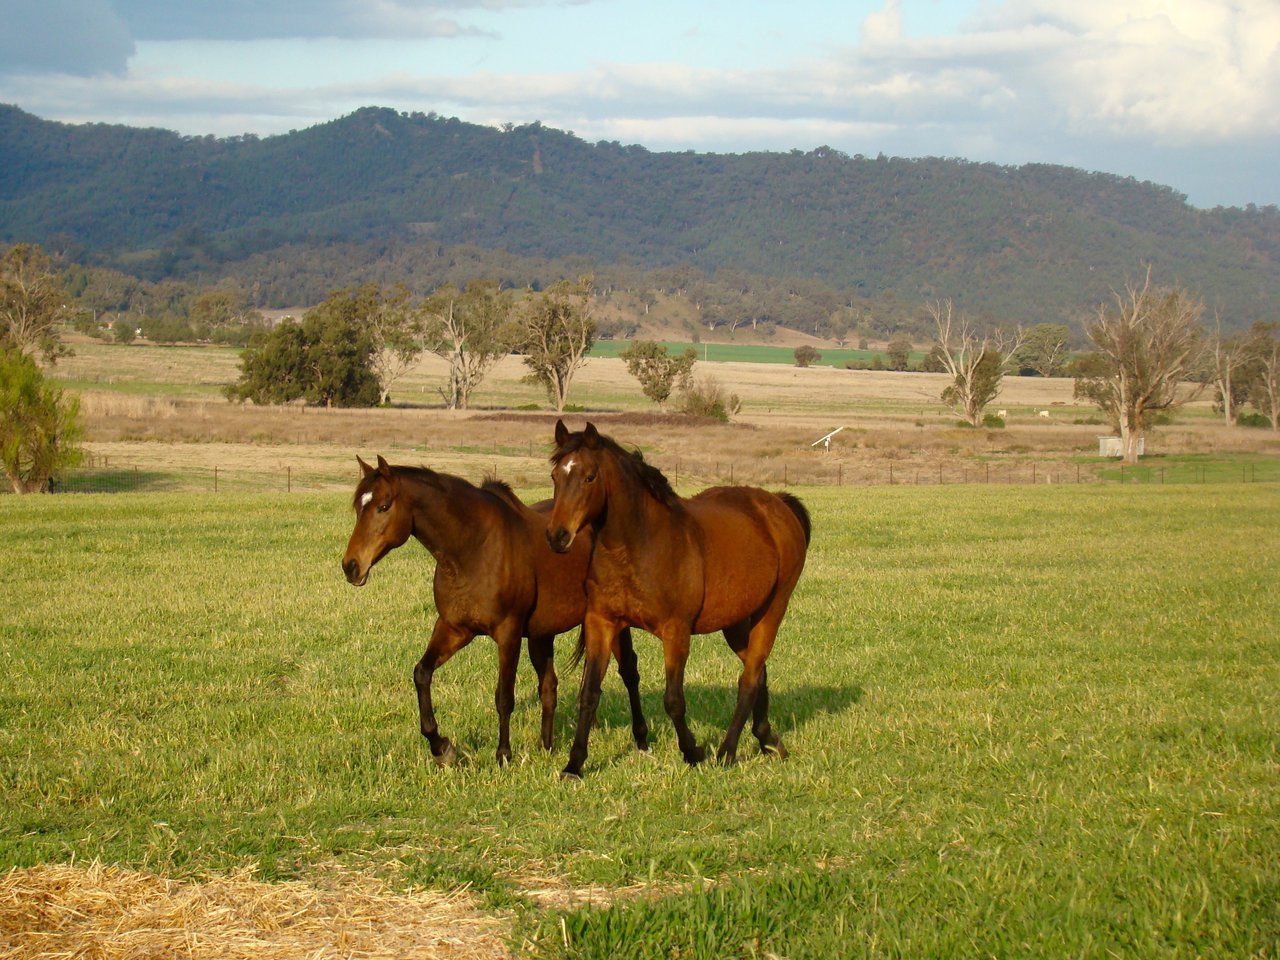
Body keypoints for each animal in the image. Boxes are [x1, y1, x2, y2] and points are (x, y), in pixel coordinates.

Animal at [342, 455, 648, 766]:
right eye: (358, 507)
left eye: (383, 506)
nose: (351, 566)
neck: (474, 548)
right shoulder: (454, 629)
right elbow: (422, 673)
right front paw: (441, 747)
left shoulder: (508, 633)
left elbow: (504, 696)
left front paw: (503, 755)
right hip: (543, 634)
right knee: (549, 686)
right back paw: (546, 746)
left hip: (614, 623)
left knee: (629, 672)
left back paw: (642, 739)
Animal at [546, 421, 811, 778]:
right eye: (555, 476)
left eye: (589, 477)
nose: (557, 536)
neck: (639, 545)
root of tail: (778, 504)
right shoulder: (601, 623)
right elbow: (589, 694)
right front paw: (574, 764)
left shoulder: (675, 632)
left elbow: (673, 699)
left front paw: (692, 751)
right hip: (737, 622)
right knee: (759, 672)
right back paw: (768, 740)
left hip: (773, 609)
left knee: (749, 678)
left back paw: (727, 752)